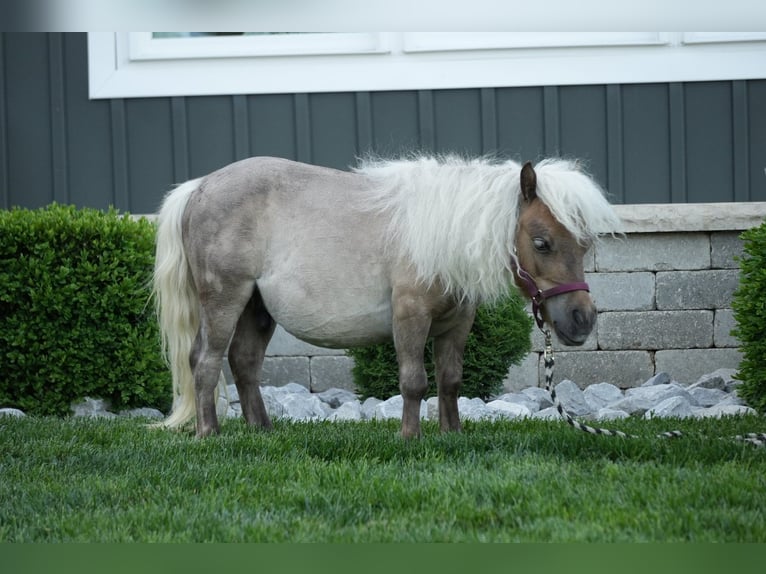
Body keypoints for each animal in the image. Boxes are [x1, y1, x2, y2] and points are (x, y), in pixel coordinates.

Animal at [152, 155, 620, 438]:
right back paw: (209, 433)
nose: (581, 320)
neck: (441, 238)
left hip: (256, 307)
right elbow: (414, 381)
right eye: (541, 243)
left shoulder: (457, 324)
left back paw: (261, 430)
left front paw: (452, 434)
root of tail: (199, 187)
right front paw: (409, 438)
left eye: (585, 244)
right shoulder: (409, 317)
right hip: (224, 301)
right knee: (205, 361)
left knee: (244, 362)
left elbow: (450, 380)